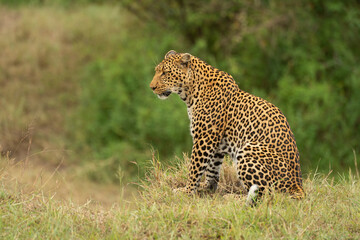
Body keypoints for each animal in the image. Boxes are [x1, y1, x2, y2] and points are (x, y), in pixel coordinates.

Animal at [149, 49, 304, 202]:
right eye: (157, 71)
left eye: (165, 73)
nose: (152, 87)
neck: (190, 92)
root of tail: (297, 186)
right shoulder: (216, 143)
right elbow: (212, 169)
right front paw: (207, 187)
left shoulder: (204, 138)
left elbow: (195, 168)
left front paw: (187, 191)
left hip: (248, 150)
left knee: (266, 195)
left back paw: (234, 197)